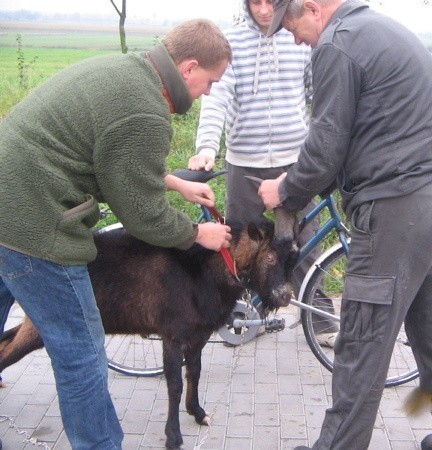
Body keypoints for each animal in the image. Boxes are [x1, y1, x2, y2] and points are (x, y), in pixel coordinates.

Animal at [0, 218, 298, 446]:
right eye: (269, 257)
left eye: (291, 260)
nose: (285, 296)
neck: (202, 271)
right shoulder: (172, 335)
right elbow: (174, 384)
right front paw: (173, 436)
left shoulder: (197, 335)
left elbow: (195, 372)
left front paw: (198, 413)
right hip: (45, 319)